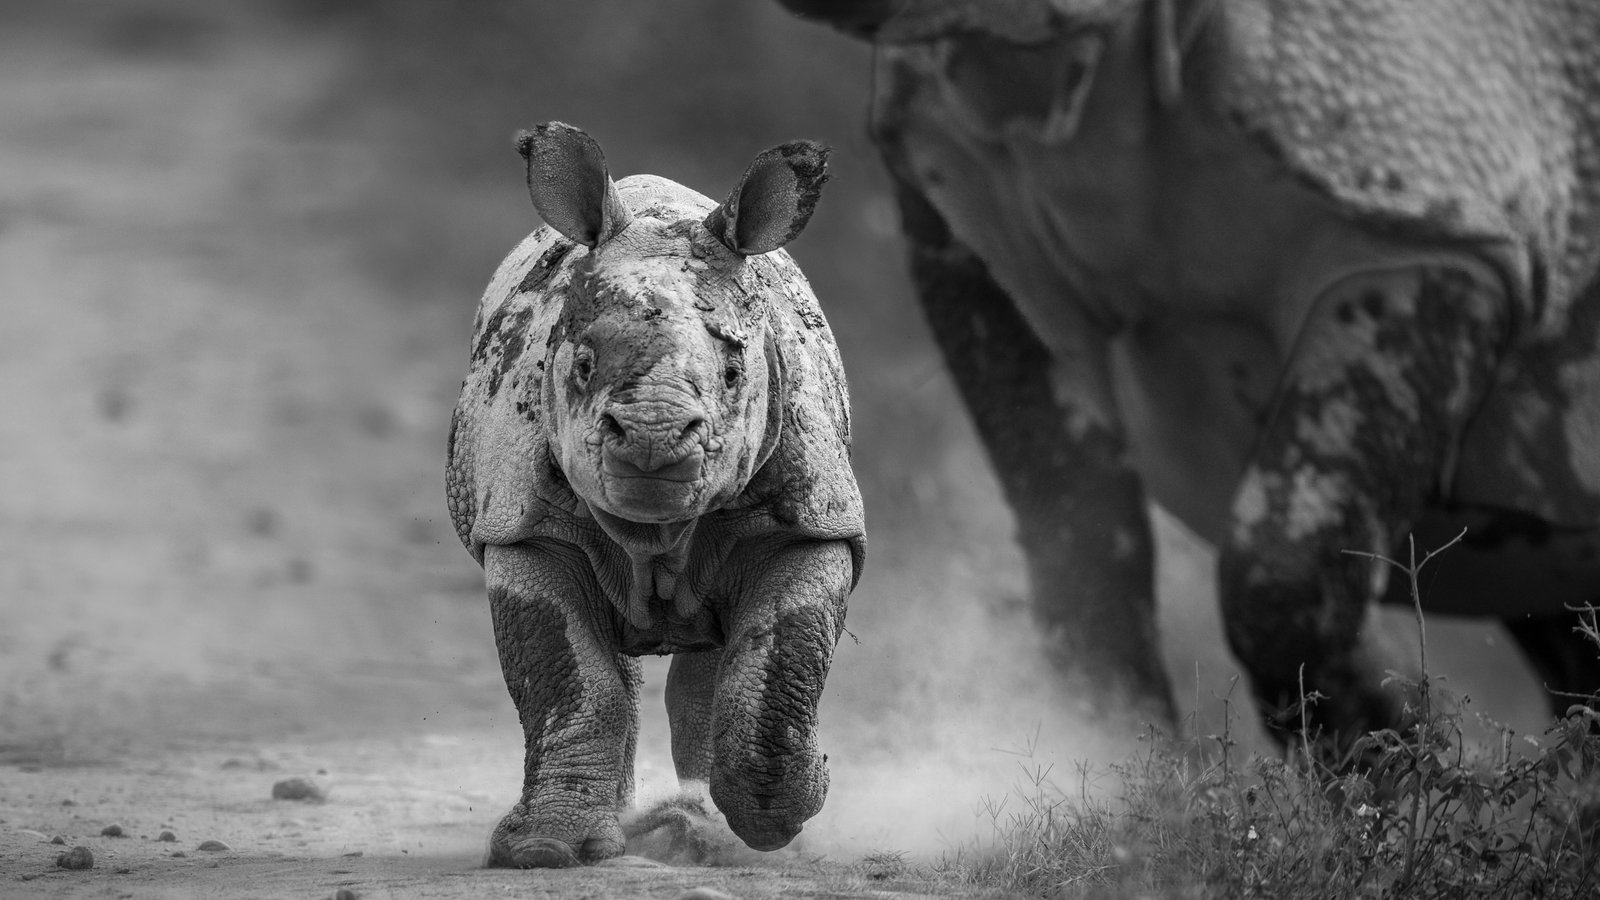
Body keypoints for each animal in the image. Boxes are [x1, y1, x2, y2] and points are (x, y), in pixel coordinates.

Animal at [445, 122, 864, 866]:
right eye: (582, 366)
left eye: (734, 374)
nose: (653, 435)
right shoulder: (524, 525)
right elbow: (572, 680)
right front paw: (544, 850)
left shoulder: (812, 519)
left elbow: (777, 656)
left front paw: (781, 816)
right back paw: (638, 828)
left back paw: (699, 824)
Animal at [774, 0, 1600, 740]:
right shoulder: (958, 209)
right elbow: (1077, 530)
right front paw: (1111, 767)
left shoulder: (1423, 224)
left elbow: (1285, 573)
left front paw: (1405, 782)